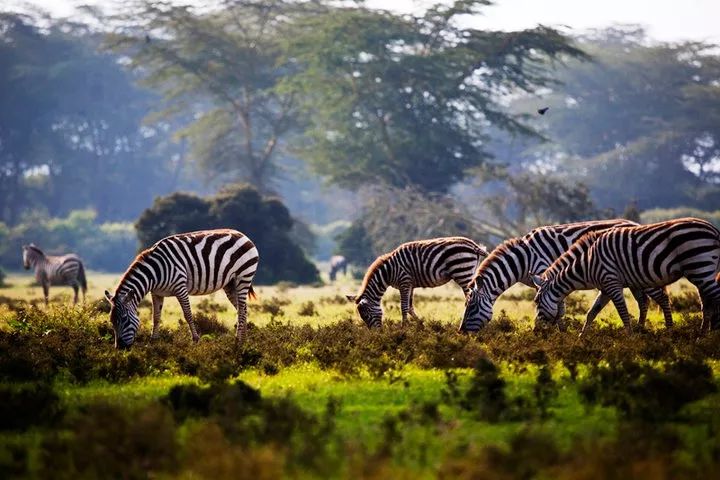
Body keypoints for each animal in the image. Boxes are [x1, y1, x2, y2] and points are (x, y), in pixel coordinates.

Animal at [101, 230, 258, 348]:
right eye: (111, 321)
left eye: (124, 319)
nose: (120, 348)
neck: (154, 273)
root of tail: (243, 235)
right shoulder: (156, 293)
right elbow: (156, 317)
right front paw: (153, 341)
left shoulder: (180, 287)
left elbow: (187, 314)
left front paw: (195, 340)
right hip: (230, 284)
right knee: (243, 309)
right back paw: (244, 340)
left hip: (243, 277)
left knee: (242, 310)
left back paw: (238, 342)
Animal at [346, 237, 486, 328]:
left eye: (367, 316)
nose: (376, 333)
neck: (389, 271)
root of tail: (474, 245)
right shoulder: (411, 285)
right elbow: (410, 307)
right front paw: (421, 325)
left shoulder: (404, 282)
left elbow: (403, 307)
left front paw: (404, 329)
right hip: (469, 273)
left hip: (462, 273)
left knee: (470, 299)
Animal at [462, 219, 676, 332]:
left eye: (472, 308)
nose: (462, 332)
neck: (523, 259)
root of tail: (633, 222)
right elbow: (555, 307)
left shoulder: (546, 273)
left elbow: (559, 309)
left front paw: (559, 333)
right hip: (633, 278)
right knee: (643, 301)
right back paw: (640, 330)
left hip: (643, 273)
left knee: (660, 298)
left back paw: (667, 330)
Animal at [536, 218, 720, 334]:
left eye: (536, 302)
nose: (535, 332)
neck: (588, 263)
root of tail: (714, 230)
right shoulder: (605, 288)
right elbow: (591, 313)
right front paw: (581, 340)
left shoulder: (612, 283)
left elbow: (623, 314)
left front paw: (630, 340)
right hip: (701, 272)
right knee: (707, 305)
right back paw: (700, 337)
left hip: (699, 268)